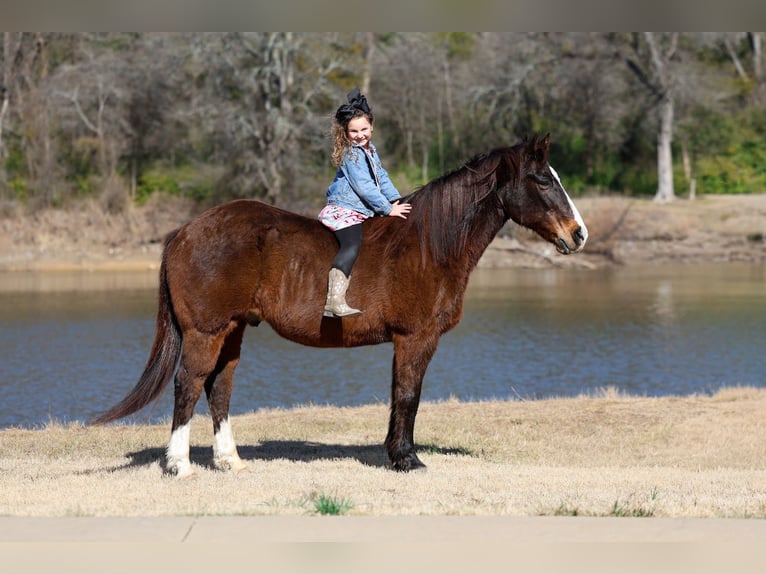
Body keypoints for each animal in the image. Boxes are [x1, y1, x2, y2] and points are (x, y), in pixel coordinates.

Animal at [90, 134, 588, 477]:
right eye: (543, 179)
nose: (579, 234)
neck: (429, 243)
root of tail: (184, 232)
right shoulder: (416, 338)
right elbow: (408, 395)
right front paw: (407, 459)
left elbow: (400, 395)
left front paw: (396, 454)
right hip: (206, 331)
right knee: (188, 384)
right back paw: (178, 465)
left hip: (232, 330)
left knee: (219, 388)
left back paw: (229, 460)